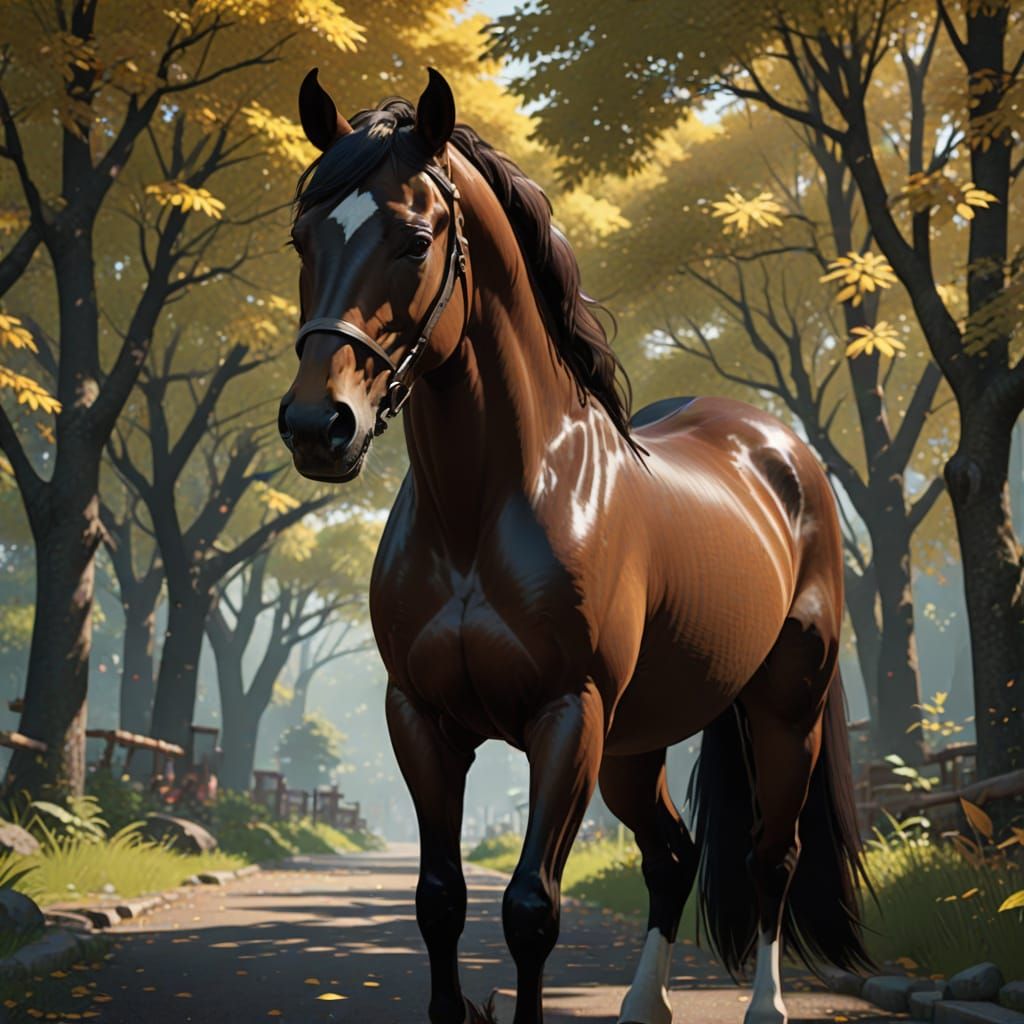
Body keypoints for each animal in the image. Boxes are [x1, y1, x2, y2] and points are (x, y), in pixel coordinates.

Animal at [279, 67, 870, 1024]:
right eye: (302, 238)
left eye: (415, 239)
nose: (316, 427)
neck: (486, 511)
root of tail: (781, 447)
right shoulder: (422, 718)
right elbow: (439, 899)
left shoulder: (568, 717)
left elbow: (531, 908)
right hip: (636, 745)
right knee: (673, 854)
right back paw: (641, 1005)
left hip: (784, 711)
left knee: (768, 857)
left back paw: (766, 1006)